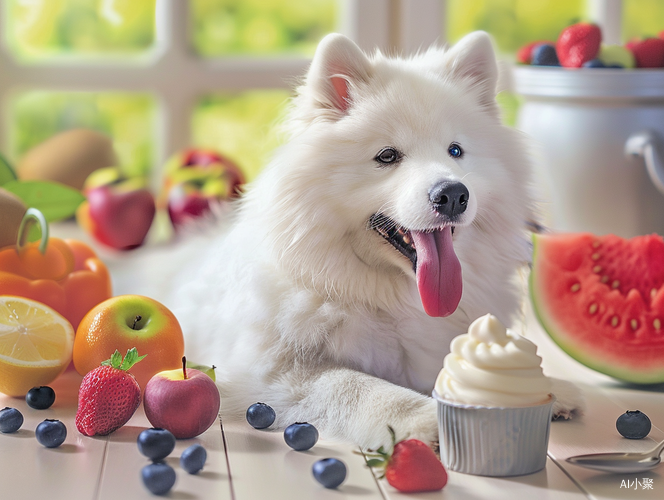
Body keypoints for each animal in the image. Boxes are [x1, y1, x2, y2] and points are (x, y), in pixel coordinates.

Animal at [132, 31, 580, 450]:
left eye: (456, 151)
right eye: (387, 156)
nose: (453, 194)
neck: (386, 295)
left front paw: (543, 386)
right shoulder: (269, 372)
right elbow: (358, 385)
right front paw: (426, 419)